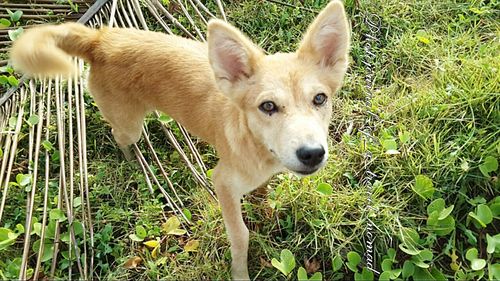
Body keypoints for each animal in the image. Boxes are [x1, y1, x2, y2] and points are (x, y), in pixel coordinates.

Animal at [9, 1, 350, 278]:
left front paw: (263, 205)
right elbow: (240, 236)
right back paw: (132, 161)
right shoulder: (222, 182)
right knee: (120, 136)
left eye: (320, 99)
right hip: (128, 124)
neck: (257, 145)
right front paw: (240, 272)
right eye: (268, 106)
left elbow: (262, 193)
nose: (312, 153)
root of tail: (101, 39)